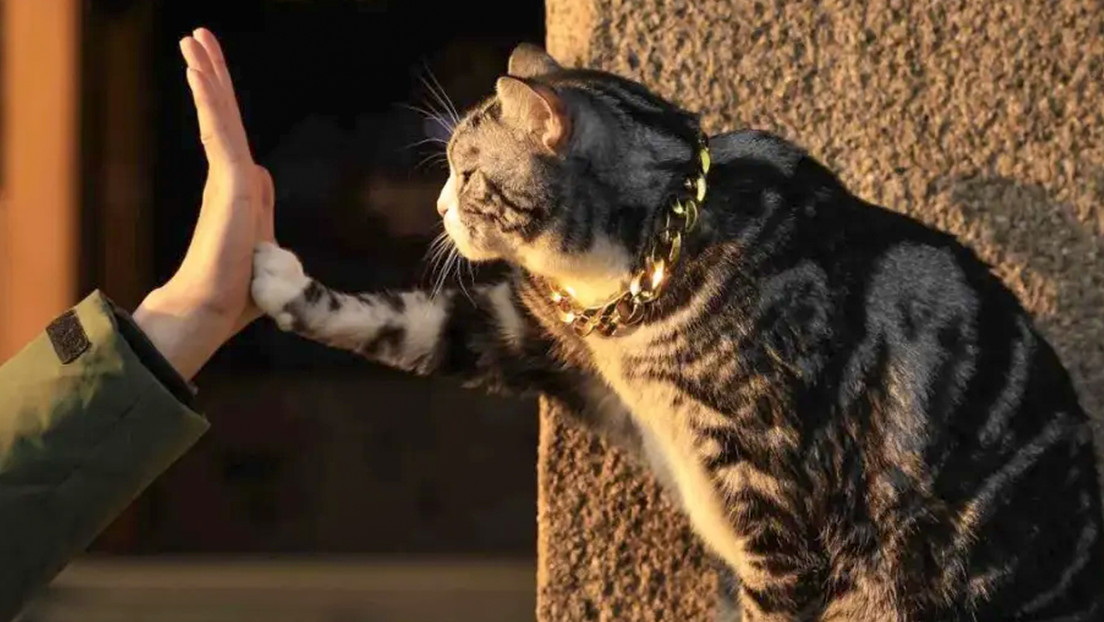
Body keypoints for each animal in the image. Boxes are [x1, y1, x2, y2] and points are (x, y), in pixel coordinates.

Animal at [250, 43, 1104, 622]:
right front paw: (273, 277)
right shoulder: (531, 334)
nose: (435, 209)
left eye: (465, 174)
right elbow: (405, 322)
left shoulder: (776, 512)